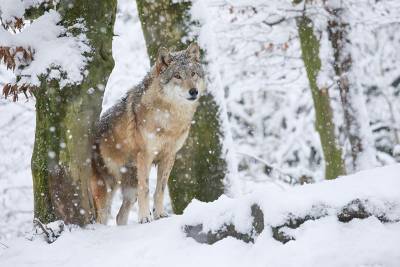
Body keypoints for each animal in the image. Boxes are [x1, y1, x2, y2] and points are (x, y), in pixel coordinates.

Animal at [91, 43, 206, 225]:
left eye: (193, 74)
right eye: (177, 76)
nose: (193, 91)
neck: (169, 118)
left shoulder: (169, 156)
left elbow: (160, 189)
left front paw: (159, 215)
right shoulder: (145, 155)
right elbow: (145, 188)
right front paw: (145, 217)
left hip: (129, 189)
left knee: (119, 216)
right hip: (106, 189)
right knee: (102, 218)